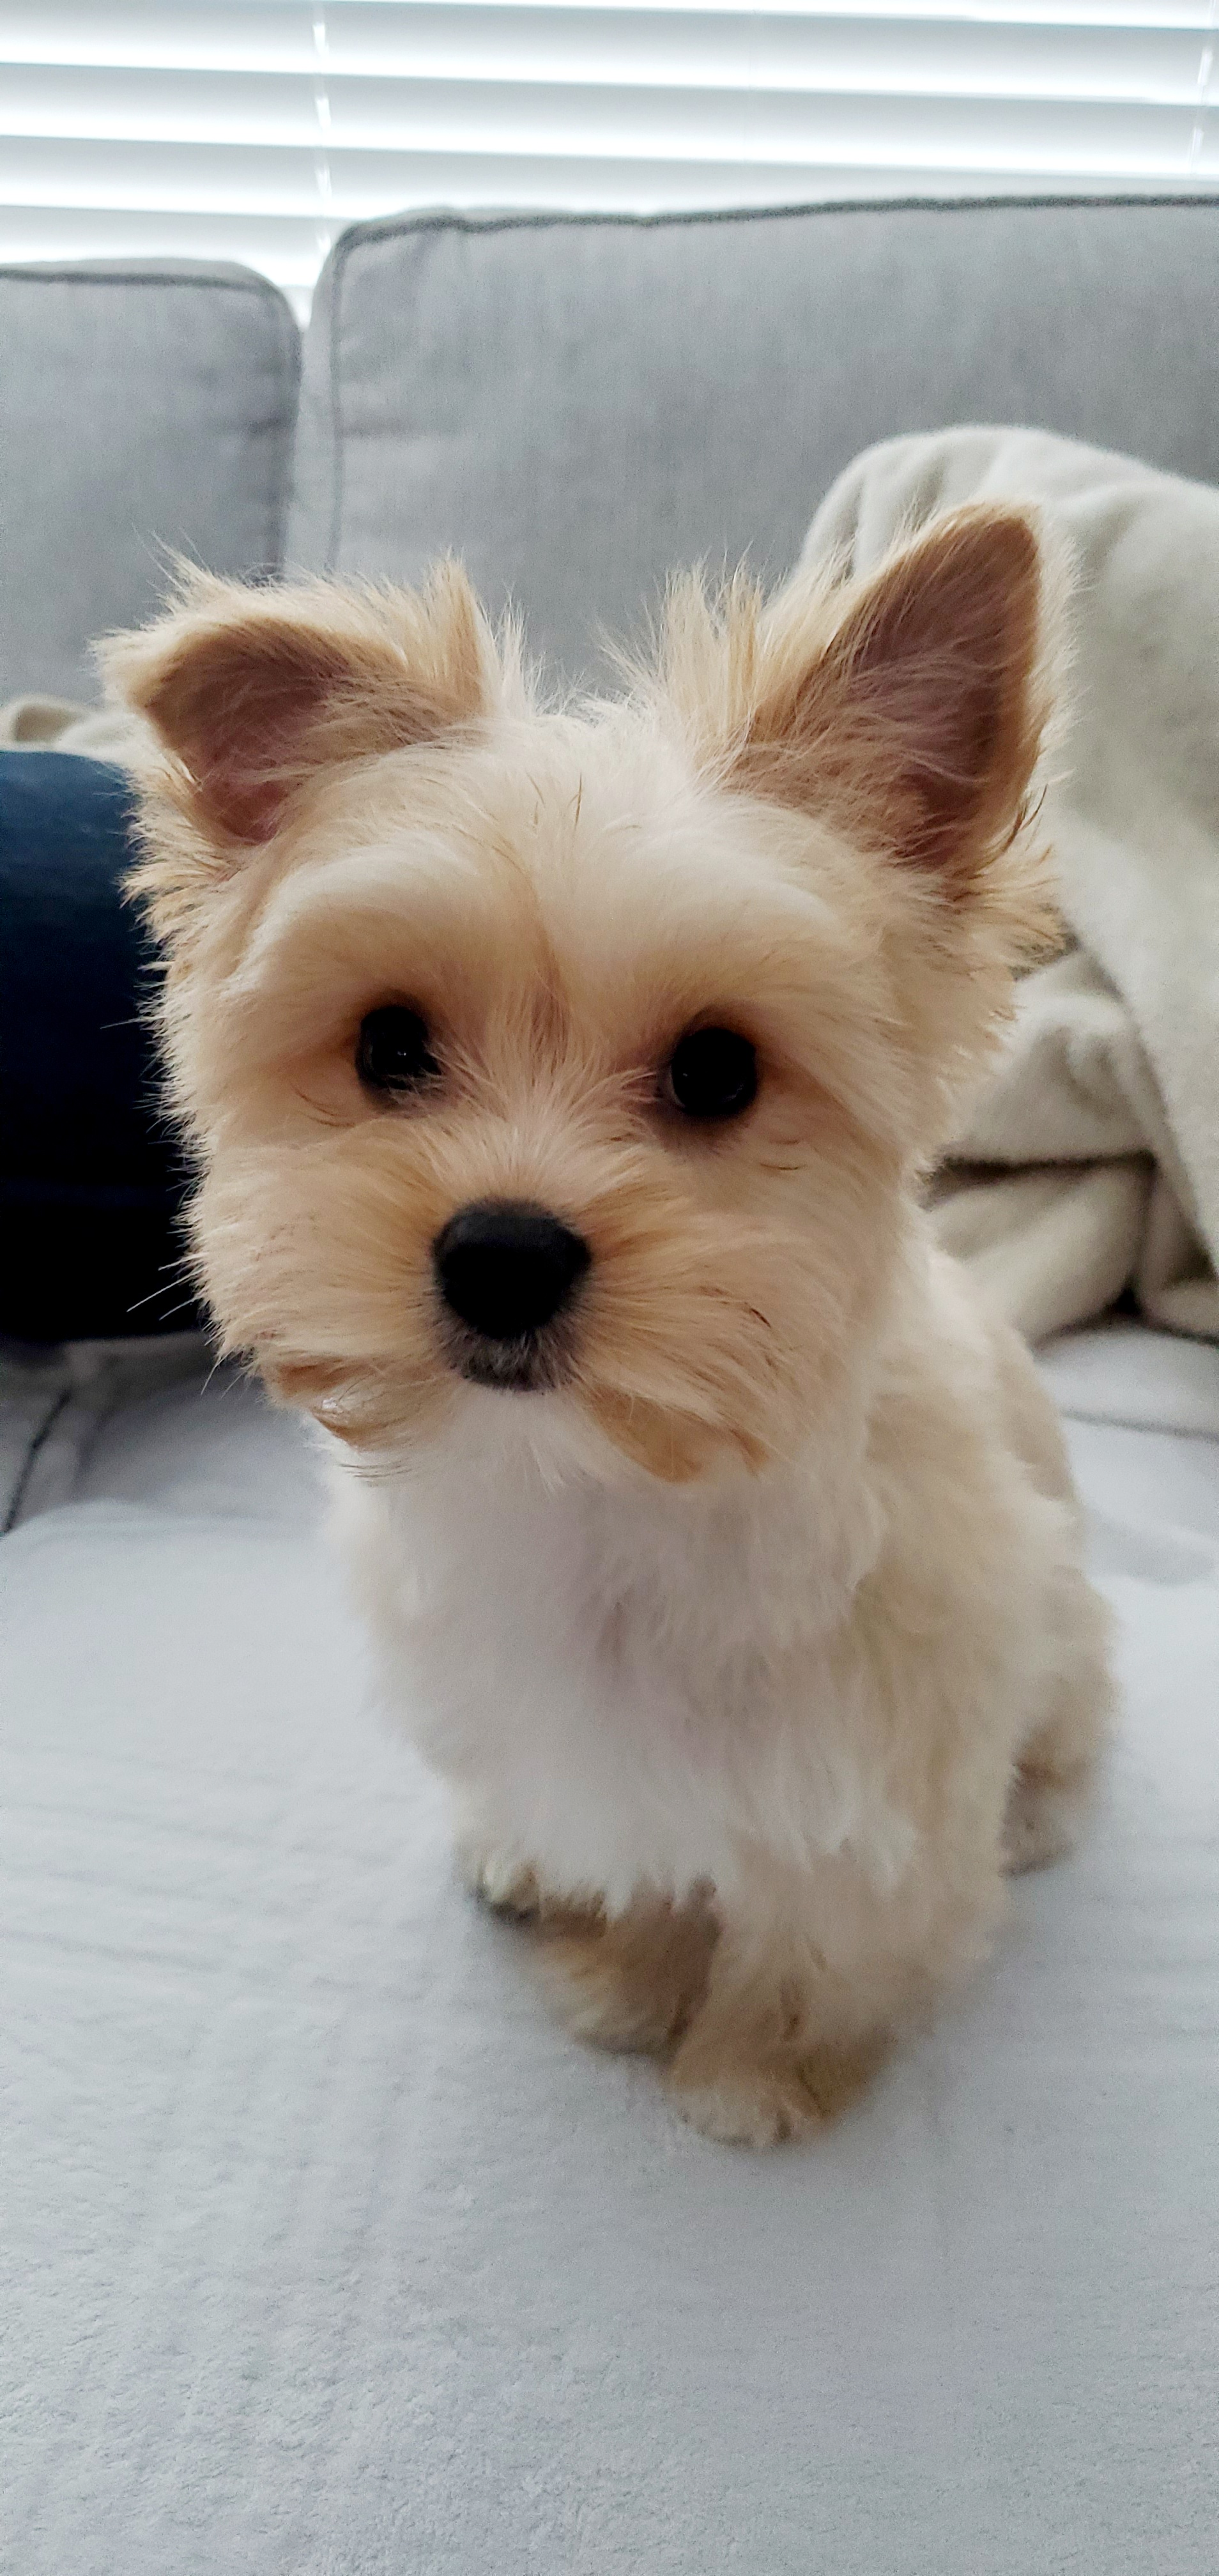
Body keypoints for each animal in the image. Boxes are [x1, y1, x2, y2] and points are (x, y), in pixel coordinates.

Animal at [105, 506, 1113, 2146]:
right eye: (390, 1046)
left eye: (718, 1072)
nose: (502, 1256)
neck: (592, 1478)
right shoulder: (575, 1738)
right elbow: (637, 1858)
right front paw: (629, 1981)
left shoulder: (873, 1759)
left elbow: (821, 1926)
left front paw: (752, 2070)